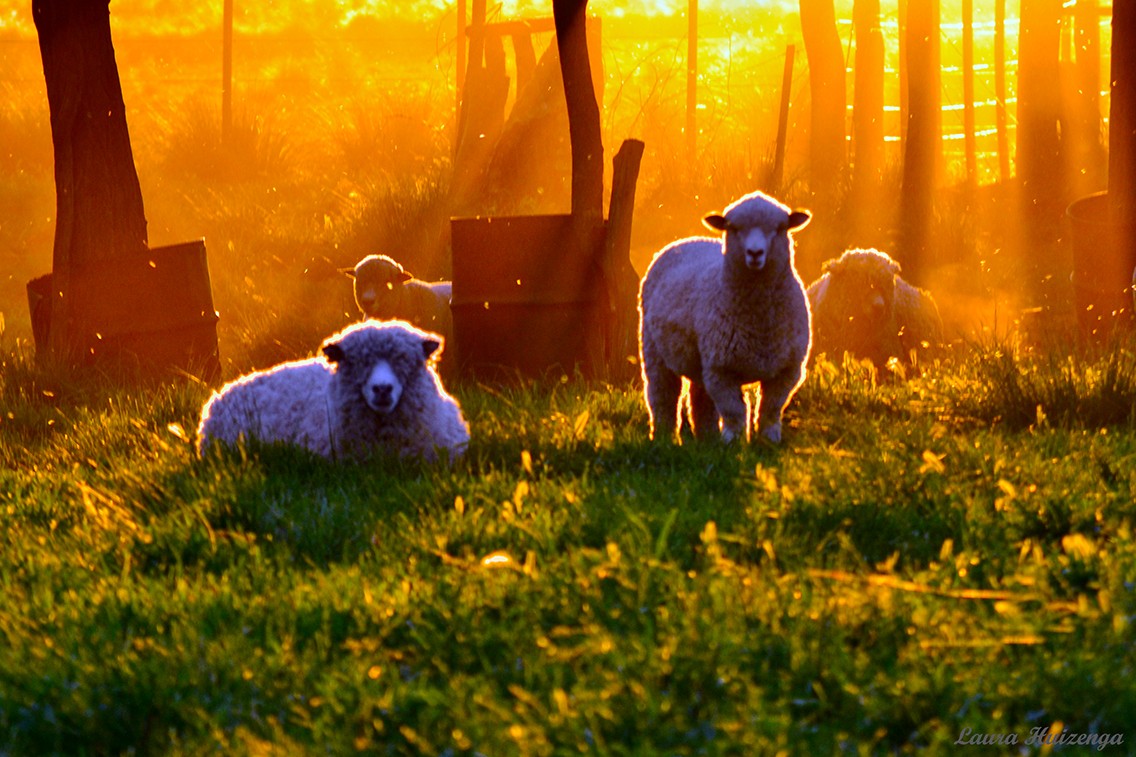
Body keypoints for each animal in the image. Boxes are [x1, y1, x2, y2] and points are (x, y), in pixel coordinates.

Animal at [640, 187, 817, 443]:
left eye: (779, 228)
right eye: (733, 228)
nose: (755, 253)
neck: (760, 321)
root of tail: (691, 239)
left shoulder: (787, 369)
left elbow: (771, 409)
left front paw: (769, 440)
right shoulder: (721, 370)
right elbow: (734, 411)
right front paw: (733, 441)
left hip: (700, 360)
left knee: (700, 398)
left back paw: (707, 437)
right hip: (654, 349)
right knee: (663, 395)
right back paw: (664, 436)